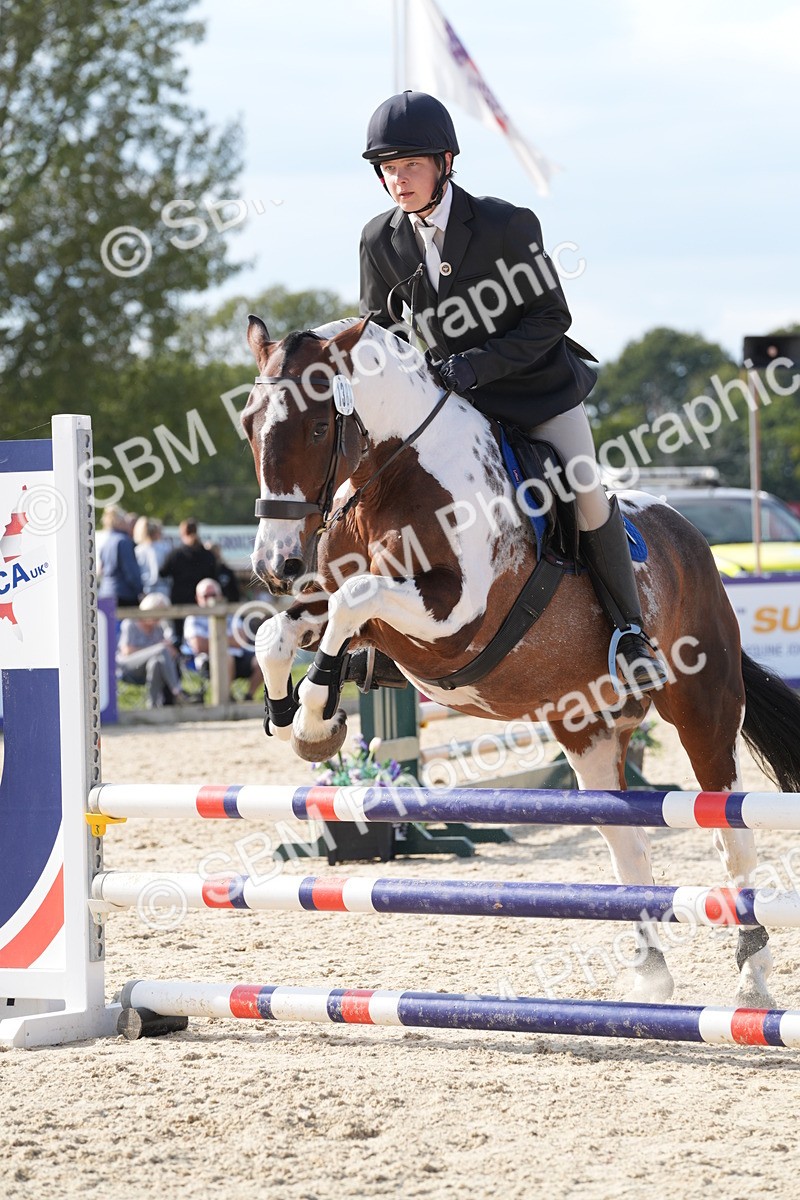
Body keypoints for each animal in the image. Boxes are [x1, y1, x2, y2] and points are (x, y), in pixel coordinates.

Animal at [241, 312, 800, 1008]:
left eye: (319, 427)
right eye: (248, 425)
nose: (275, 565)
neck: (397, 472)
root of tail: (693, 542)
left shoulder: (454, 617)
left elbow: (352, 599)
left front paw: (317, 709)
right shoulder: (368, 615)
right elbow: (283, 631)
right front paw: (301, 714)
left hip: (704, 708)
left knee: (731, 835)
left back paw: (752, 978)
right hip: (587, 730)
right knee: (628, 845)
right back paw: (649, 973)